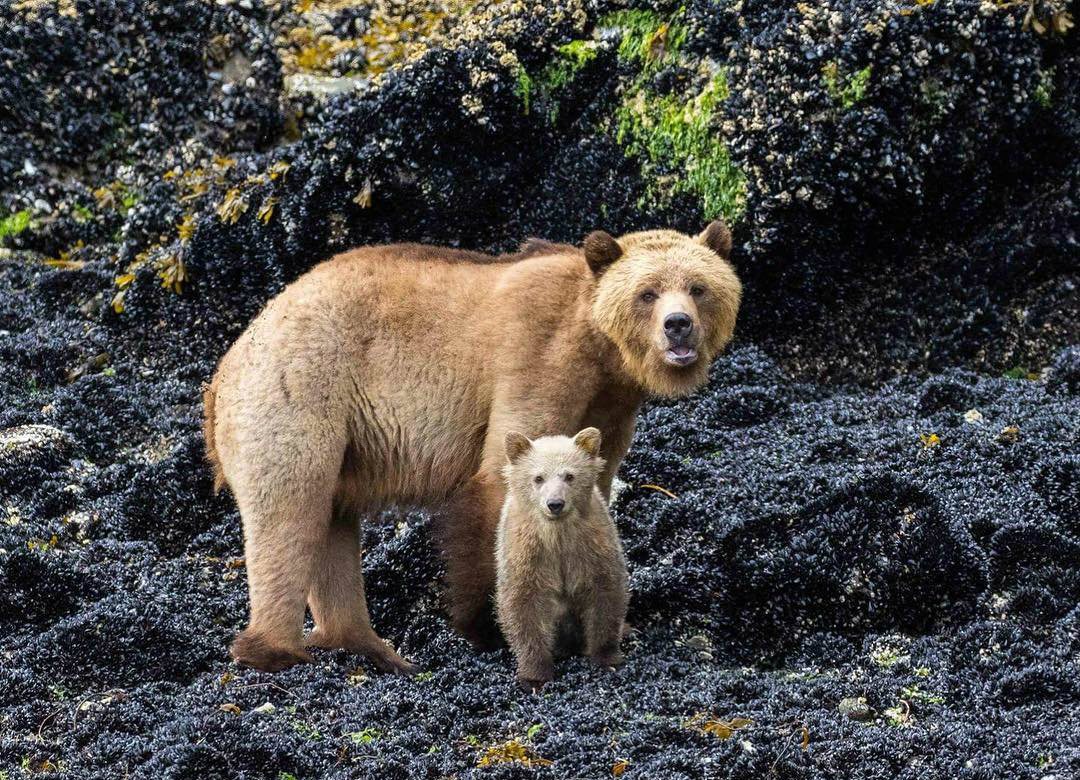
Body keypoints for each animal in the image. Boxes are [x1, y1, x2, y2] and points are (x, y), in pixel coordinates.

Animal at [203, 221, 743, 669]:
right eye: (647, 292)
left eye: (698, 287)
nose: (678, 324)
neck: (602, 352)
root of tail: (222, 371)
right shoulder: (538, 356)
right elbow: (499, 480)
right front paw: (486, 625)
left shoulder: (611, 408)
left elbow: (596, 485)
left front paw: (614, 623)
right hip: (299, 395)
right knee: (290, 514)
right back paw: (275, 649)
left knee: (331, 525)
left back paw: (367, 646)